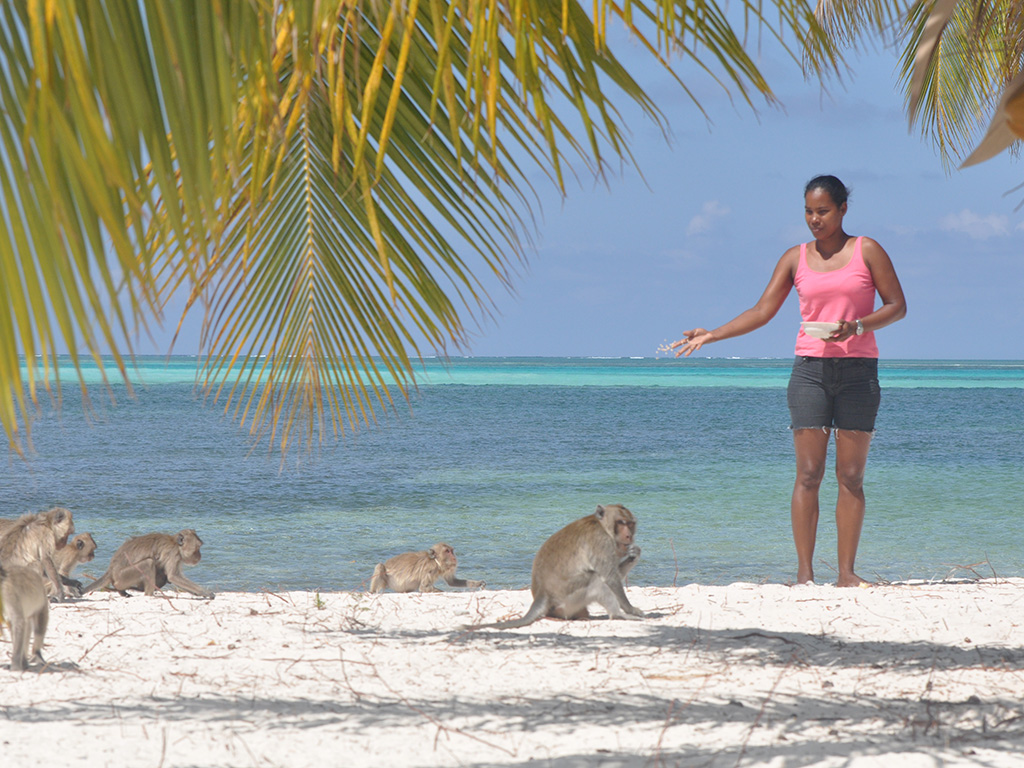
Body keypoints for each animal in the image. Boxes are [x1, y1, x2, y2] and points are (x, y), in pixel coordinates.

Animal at [81, 528, 214, 602]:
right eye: (197, 548)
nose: (200, 556)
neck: (175, 544)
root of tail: (111, 570)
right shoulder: (174, 553)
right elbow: (173, 577)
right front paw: (205, 592)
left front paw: (198, 593)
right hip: (122, 577)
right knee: (149, 563)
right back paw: (149, 595)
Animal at [468, 505, 643, 630]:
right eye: (621, 523)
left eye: (630, 524)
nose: (628, 535)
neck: (601, 525)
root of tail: (541, 594)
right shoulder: (600, 542)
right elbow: (609, 577)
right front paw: (630, 609)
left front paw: (634, 554)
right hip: (568, 599)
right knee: (595, 580)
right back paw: (618, 615)